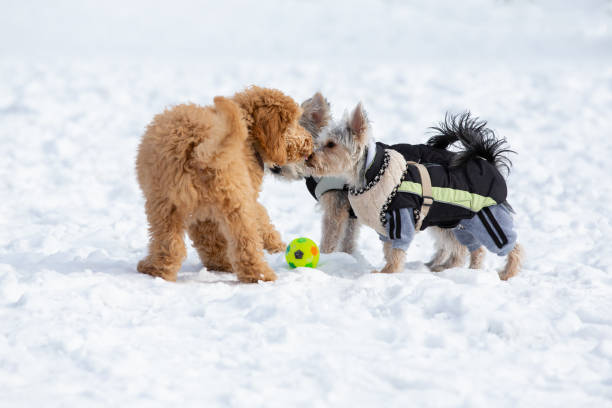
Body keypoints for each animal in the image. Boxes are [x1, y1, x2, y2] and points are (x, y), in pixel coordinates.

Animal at [136, 86, 314, 282]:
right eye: (294, 123)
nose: (310, 143)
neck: (248, 133)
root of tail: (197, 148)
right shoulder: (247, 192)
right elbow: (261, 214)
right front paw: (276, 244)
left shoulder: (207, 214)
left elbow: (210, 240)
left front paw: (219, 265)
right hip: (232, 199)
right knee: (245, 242)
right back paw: (260, 275)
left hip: (165, 204)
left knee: (168, 242)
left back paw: (157, 270)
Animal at [308, 103, 524, 278]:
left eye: (331, 144)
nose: (310, 157)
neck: (371, 172)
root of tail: (490, 163)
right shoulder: (385, 225)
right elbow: (389, 249)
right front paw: (388, 271)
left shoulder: (399, 218)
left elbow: (395, 250)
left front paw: (387, 273)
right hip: (459, 223)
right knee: (473, 249)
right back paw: (467, 272)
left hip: (487, 218)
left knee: (512, 246)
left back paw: (507, 273)